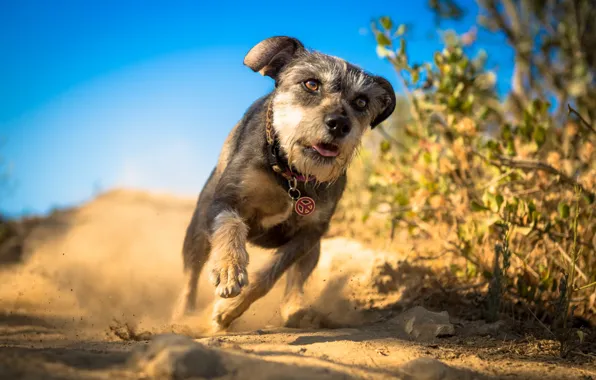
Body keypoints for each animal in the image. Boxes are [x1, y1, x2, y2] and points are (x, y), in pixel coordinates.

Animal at [172, 37, 396, 332]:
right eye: (311, 84)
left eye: (361, 101)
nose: (339, 124)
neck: (291, 175)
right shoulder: (225, 201)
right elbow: (230, 225)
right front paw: (229, 268)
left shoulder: (310, 233)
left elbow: (271, 275)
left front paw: (228, 309)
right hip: (197, 231)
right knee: (190, 276)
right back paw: (182, 317)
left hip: (315, 251)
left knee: (295, 283)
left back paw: (297, 312)